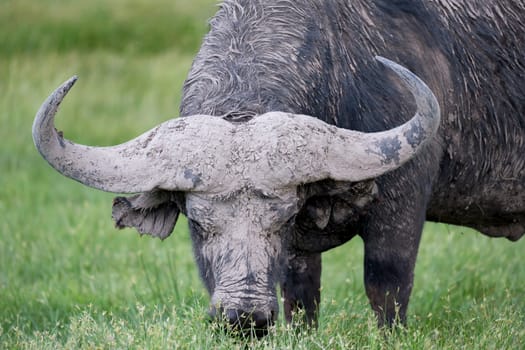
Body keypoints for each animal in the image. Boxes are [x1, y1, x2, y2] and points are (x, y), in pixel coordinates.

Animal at [33, 0, 524, 334]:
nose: (244, 316)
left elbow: (386, 284)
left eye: (282, 219)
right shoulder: (298, 259)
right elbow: (301, 296)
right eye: (198, 223)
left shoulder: (401, 202)